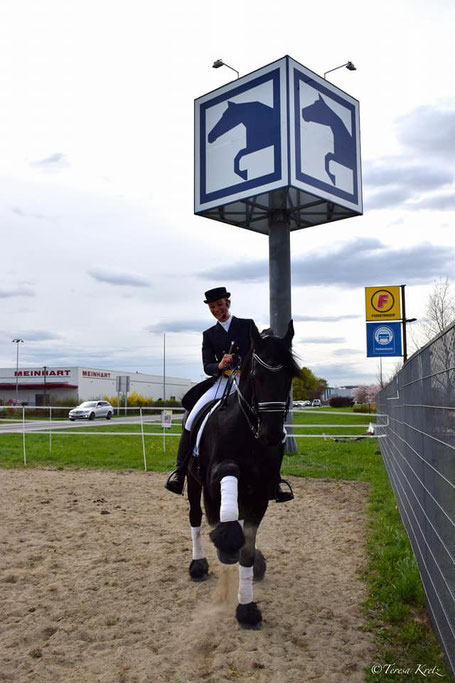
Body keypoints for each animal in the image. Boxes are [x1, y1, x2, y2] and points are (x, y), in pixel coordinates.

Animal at [185, 320, 302, 632]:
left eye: (290, 375)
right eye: (255, 375)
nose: (272, 434)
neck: (249, 431)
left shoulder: (260, 494)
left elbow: (247, 551)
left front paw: (246, 608)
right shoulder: (213, 477)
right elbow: (228, 472)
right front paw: (226, 543)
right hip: (192, 481)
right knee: (196, 518)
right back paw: (199, 564)